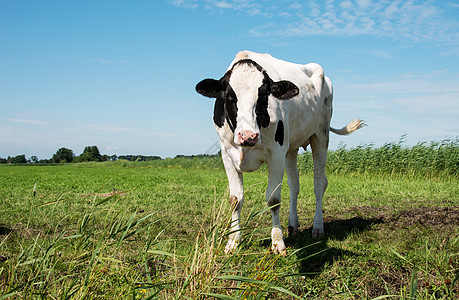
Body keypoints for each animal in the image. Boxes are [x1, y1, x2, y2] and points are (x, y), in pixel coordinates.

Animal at [195, 50, 366, 254]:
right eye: (229, 96)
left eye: (264, 96)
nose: (248, 136)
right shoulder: (227, 153)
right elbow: (235, 199)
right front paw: (233, 242)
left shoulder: (276, 154)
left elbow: (273, 199)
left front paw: (277, 242)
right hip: (291, 146)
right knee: (294, 184)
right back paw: (293, 225)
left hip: (320, 135)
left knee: (319, 183)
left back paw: (317, 227)